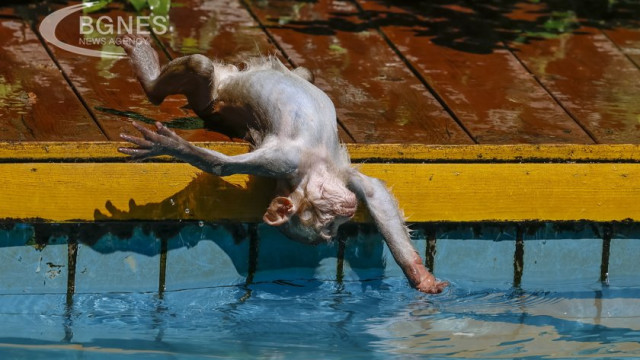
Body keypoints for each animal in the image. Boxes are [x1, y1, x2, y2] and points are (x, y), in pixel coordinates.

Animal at [117, 33, 448, 294]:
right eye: (327, 222)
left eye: (336, 225)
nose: (347, 212)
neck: (315, 168)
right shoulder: (282, 161)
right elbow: (222, 166)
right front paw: (171, 146)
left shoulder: (344, 177)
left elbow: (375, 193)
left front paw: (420, 276)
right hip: (211, 97)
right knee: (200, 67)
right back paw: (150, 79)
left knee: (301, 73)